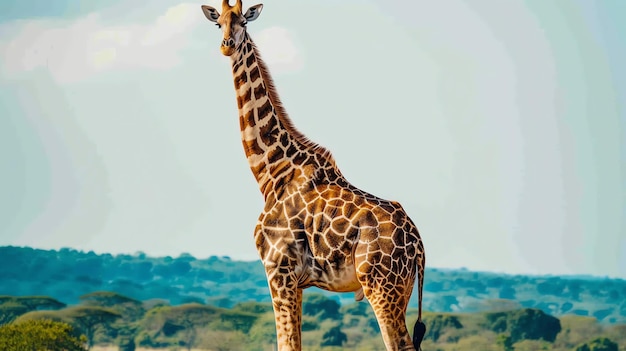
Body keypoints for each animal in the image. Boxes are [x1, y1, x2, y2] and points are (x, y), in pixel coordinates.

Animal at [200, 1, 424, 350]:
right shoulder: (296, 280)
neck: (271, 172)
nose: (227, 45)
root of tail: (418, 245)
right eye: (218, 23)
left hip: (381, 286)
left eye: (243, 23)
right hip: (402, 289)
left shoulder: (279, 270)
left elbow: (287, 343)